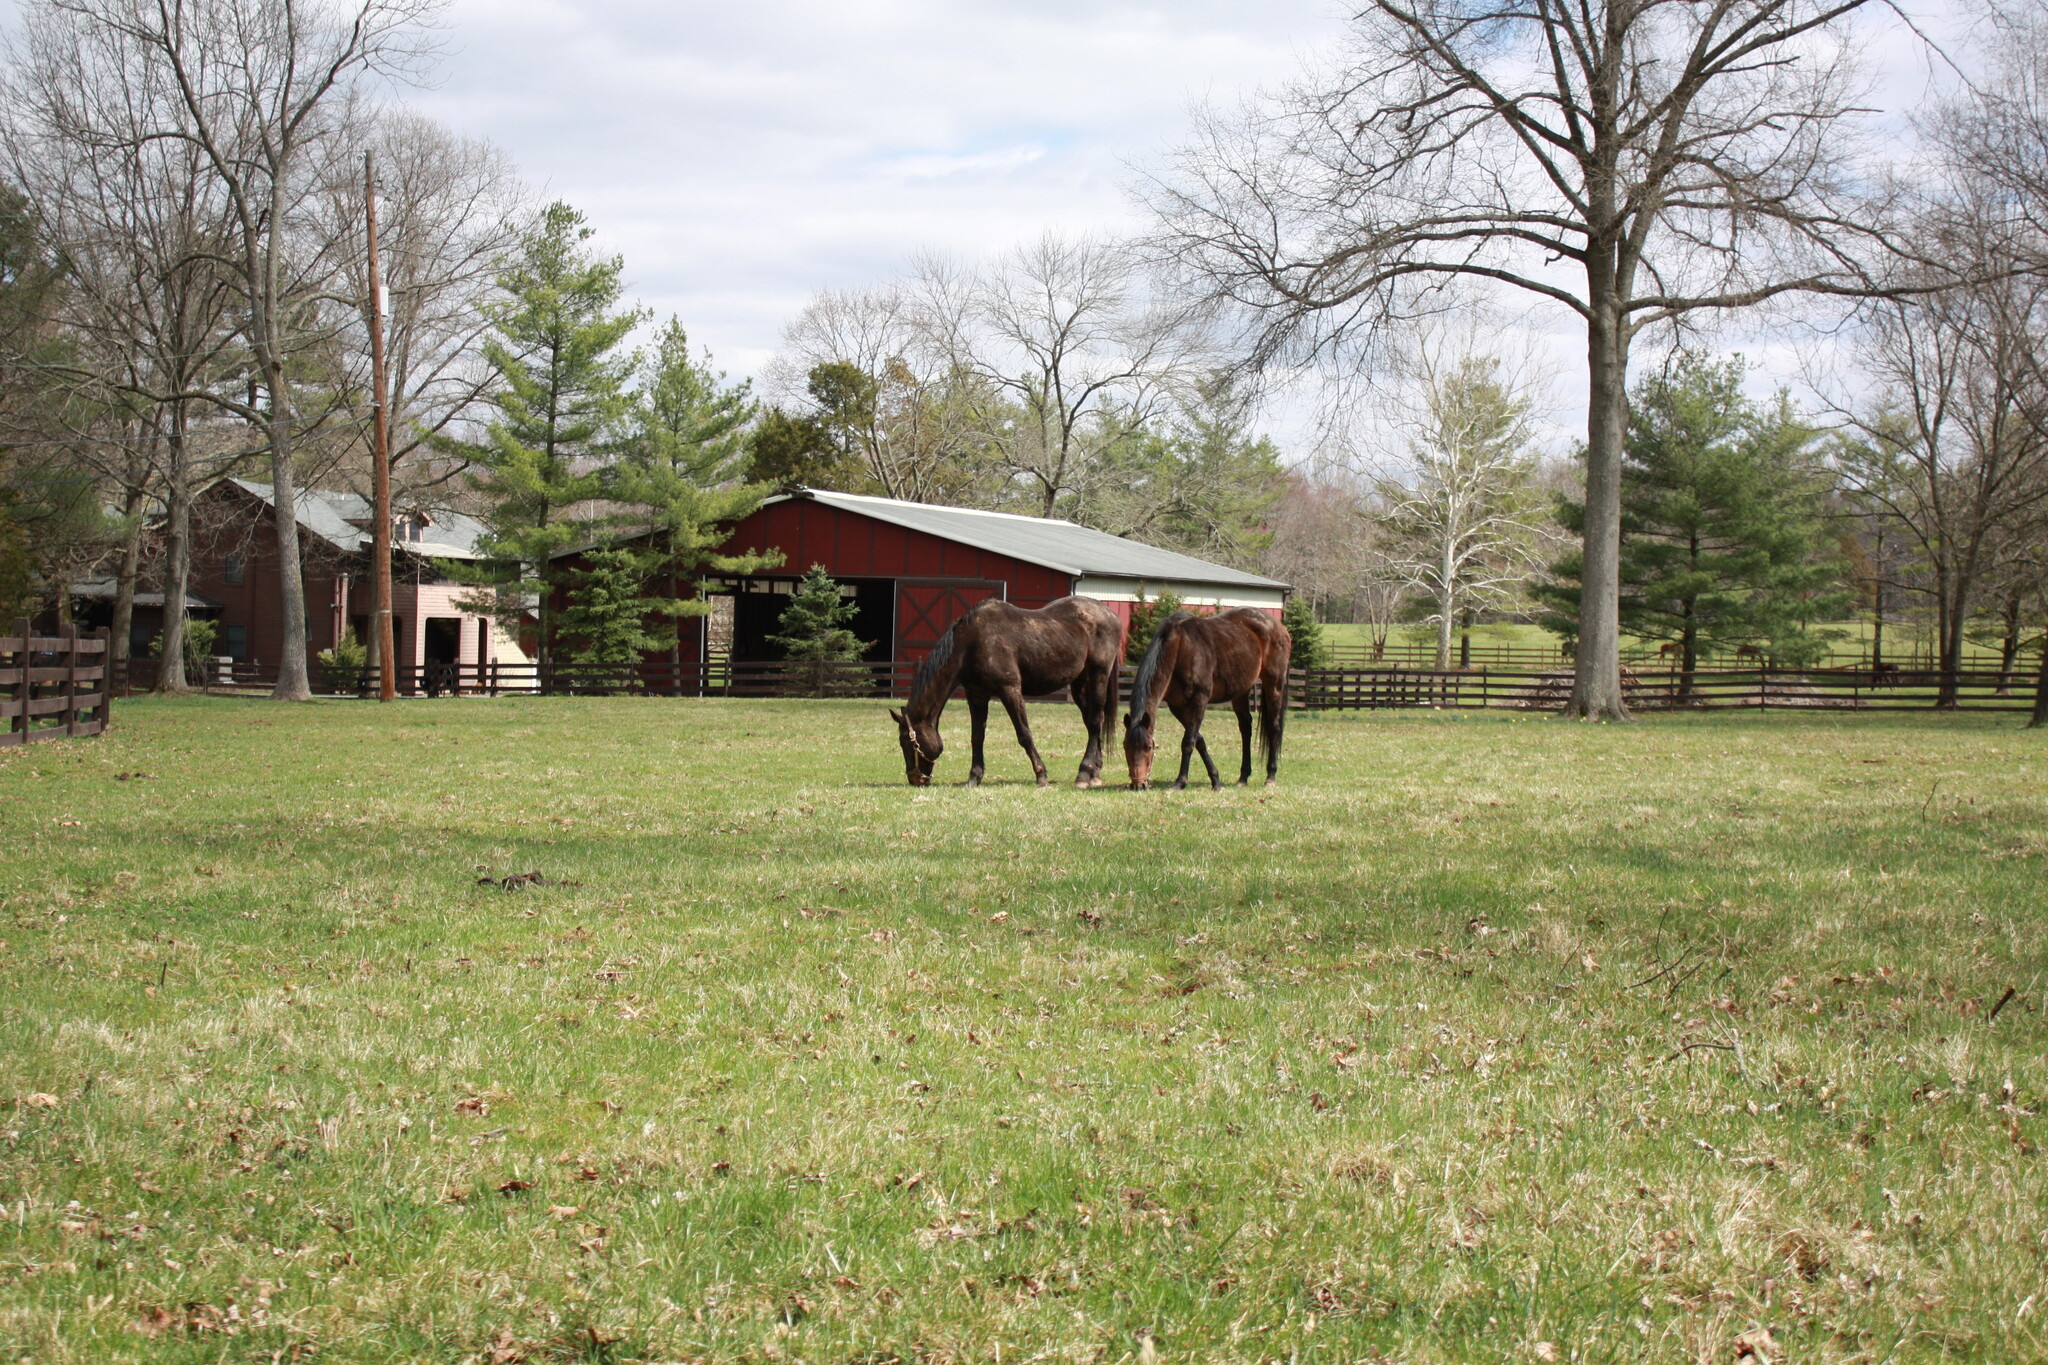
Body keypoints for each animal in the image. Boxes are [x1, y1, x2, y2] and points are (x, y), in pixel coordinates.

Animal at [892, 597, 1130, 789]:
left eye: (907, 742)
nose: (914, 779)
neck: (972, 642)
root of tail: (1111, 615)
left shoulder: (1010, 690)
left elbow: (1024, 734)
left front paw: (1041, 775)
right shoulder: (977, 696)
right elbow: (977, 737)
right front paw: (974, 778)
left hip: (1098, 675)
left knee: (1095, 722)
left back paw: (1083, 773)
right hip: (1079, 684)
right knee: (1093, 724)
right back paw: (1094, 773)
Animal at [1130, 609, 1286, 789]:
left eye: (1149, 747)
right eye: (1125, 746)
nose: (1138, 784)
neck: (1180, 646)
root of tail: (1278, 626)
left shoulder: (1199, 701)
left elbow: (1188, 742)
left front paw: (1181, 781)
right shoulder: (1177, 707)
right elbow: (1199, 740)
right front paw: (1215, 779)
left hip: (1274, 685)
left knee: (1273, 728)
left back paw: (1271, 776)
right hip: (1241, 692)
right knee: (1246, 728)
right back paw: (1243, 777)